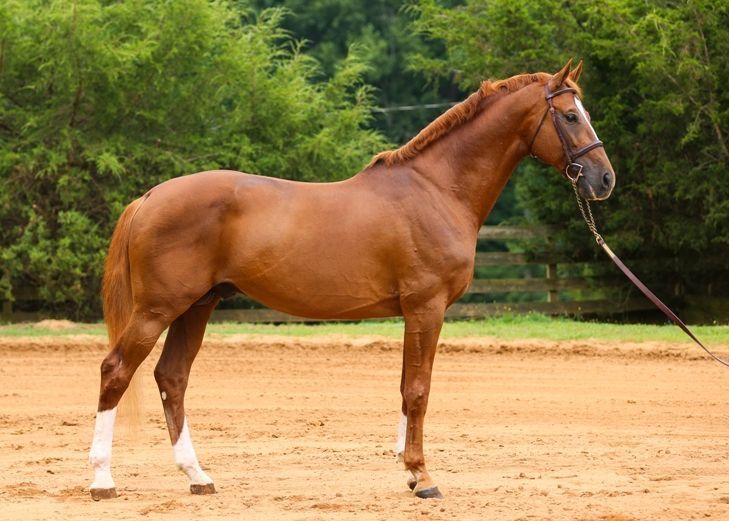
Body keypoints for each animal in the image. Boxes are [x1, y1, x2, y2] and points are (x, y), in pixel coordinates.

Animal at [89, 61, 616, 500]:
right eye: (570, 116)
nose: (605, 180)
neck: (436, 189)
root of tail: (149, 197)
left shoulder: (413, 314)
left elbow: (406, 387)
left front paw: (409, 472)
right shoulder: (427, 307)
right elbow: (418, 390)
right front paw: (423, 477)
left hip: (197, 307)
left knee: (171, 378)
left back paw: (197, 476)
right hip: (157, 310)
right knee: (116, 371)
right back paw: (102, 481)